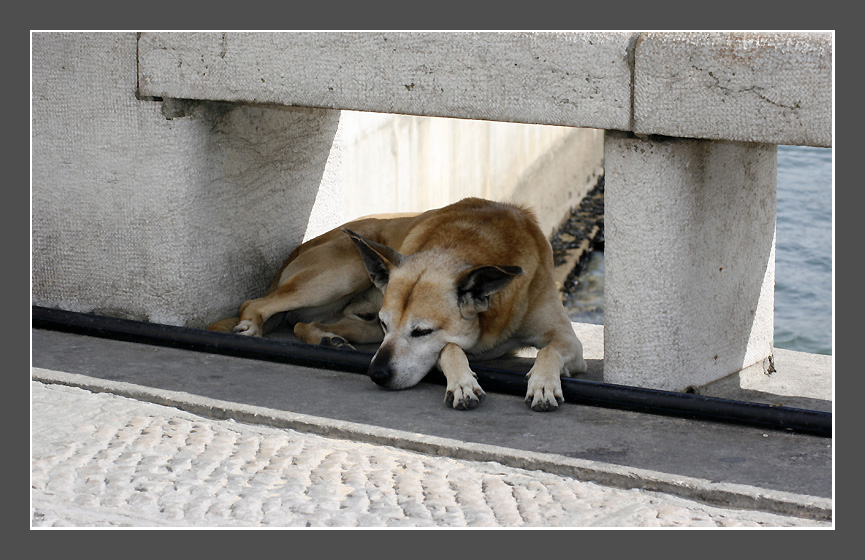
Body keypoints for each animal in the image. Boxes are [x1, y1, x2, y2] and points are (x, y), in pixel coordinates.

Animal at [208, 197, 588, 412]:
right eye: (387, 324)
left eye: (422, 332)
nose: (376, 374)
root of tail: (298, 250)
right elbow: (450, 349)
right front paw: (463, 382)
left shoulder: (569, 341)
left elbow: (548, 350)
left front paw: (543, 383)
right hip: (344, 272)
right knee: (255, 303)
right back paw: (251, 326)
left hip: (357, 320)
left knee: (304, 323)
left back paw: (330, 340)